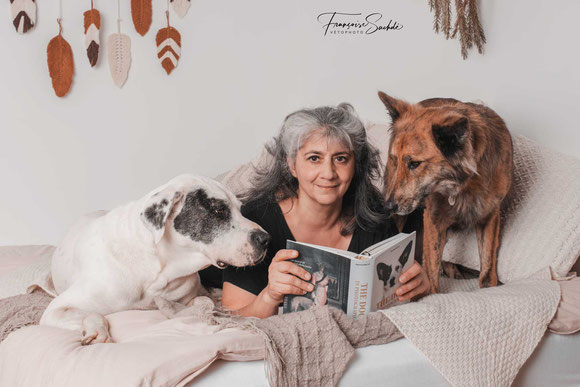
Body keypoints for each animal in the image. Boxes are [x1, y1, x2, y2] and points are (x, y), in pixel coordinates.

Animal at [39, 175, 270, 346]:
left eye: (241, 209)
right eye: (218, 210)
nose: (265, 239)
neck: (159, 269)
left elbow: (202, 302)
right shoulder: (57, 309)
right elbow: (95, 314)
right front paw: (97, 331)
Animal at [378, 92, 516, 294]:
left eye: (415, 163)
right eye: (395, 160)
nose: (388, 206)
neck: (465, 184)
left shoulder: (489, 215)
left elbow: (487, 268)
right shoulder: (433, 219)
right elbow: (431, 269)